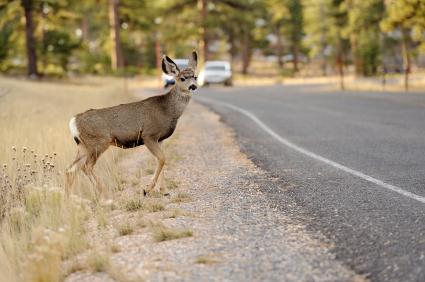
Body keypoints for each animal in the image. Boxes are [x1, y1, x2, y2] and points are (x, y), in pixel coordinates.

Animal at [65, 51, 198, 196]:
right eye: (182, 78)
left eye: (195, 77)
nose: (193, 86)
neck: (168, 110)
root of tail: (74, 121)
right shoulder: (149, 135)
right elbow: (162, 159)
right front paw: (147, 189)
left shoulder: (160, 139)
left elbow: (161, 160)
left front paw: (164, 190)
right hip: (98, 142)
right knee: (86, 166)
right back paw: (103, 192)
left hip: (83, 146)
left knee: (71, 169)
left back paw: (69, 197)